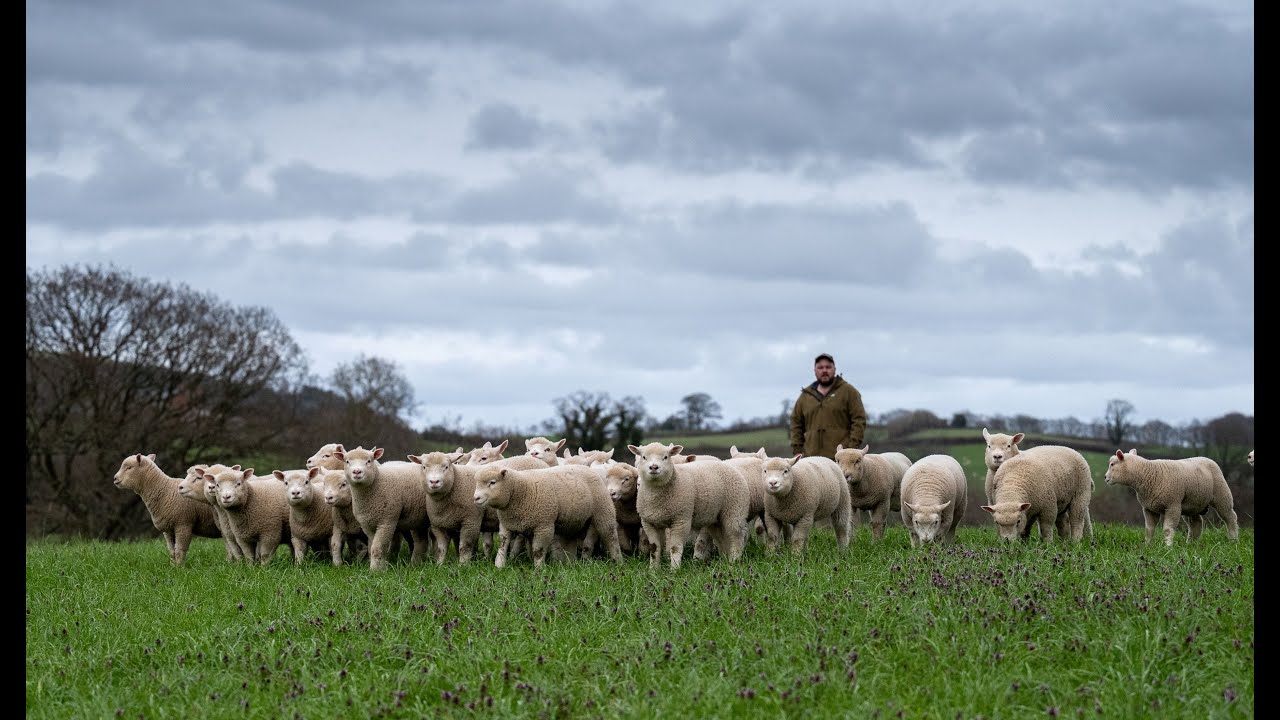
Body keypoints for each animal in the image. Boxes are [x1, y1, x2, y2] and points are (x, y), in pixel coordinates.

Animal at [408, 451, 547, 564]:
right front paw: (439, 565)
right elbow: (441, 548)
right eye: (424, 467)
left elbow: (465, 546)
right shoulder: (438, 525)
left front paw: (462, 565)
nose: (434, 482)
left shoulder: (471, 521)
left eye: (446, 467)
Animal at [473, 463, 623, 568]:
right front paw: (499, 566)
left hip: (604, 511)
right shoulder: (507, 524)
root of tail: (589, 468)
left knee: (611, 537)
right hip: (572, 522)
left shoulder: (544, 526)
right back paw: (569, 564)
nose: (476, 498)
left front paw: (538, 570)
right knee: (570, 540)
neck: (520, 491)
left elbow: (538, 550)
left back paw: (618, 562)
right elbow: (503, 546)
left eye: (492, 482)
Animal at [1104, 448, 1240, 546]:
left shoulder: (1172, 505)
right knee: (1196, 522)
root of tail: (1207, 458)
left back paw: (1233, 540)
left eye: (1112, 464)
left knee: (1230, 517)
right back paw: (1191, 544)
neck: (1147, 475)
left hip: (1222, 495)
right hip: (1192, 504)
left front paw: (1168, 547)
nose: (1105, 477)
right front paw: (1147, 546)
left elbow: (1167, 529)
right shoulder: (1149, 508)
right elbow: (1149, 529)